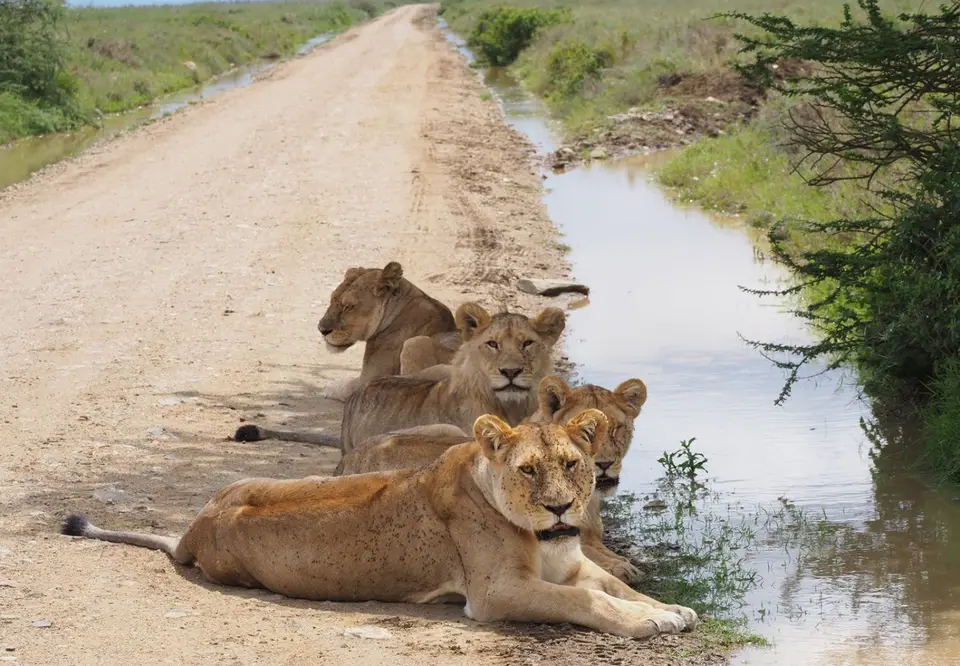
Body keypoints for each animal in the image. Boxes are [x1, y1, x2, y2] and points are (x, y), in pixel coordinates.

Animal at [61, 411, 697, 638]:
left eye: (570, 464)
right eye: (528, 469)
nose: (562, 508)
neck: (548, 537)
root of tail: (196, 524)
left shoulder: (572, 565)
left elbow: (617, 588)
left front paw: (670, 609)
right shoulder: (496, 593)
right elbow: (589, 602)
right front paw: (651, 623)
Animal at [317, 261, 458, 401]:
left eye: (348, 307)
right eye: (332, 299)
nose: (321, 330)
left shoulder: (368, 378)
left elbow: (345, 386)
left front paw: (330, 386)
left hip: (415, 343)